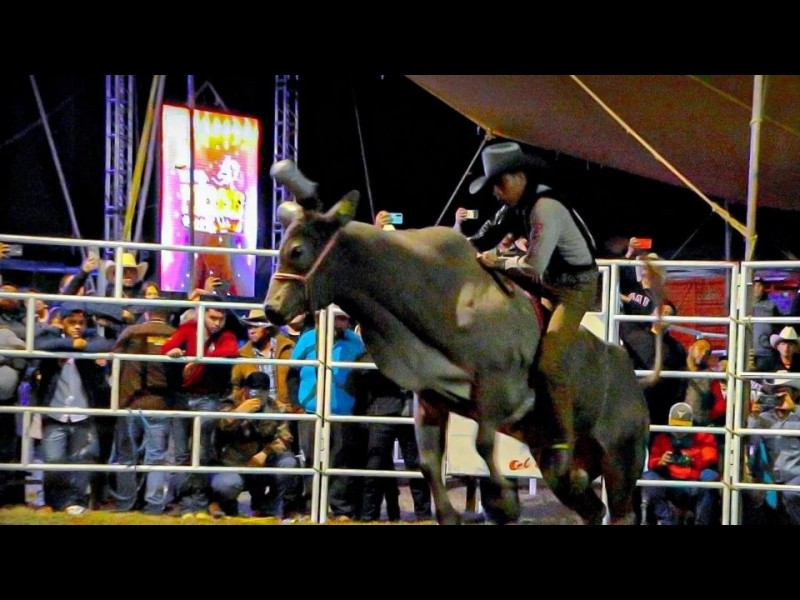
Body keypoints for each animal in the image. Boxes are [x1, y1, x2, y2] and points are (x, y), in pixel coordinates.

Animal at [263, 163, 650, 525]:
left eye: (297, 250)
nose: (271, 308)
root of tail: (631, 377)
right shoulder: (429, 397)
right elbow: (428, 463)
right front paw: (453, 512)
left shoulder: (497, 388)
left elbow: (483, 442)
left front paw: (504, 501)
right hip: (563, 465)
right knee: (590, 506)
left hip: (621, 458)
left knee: (620, 511)